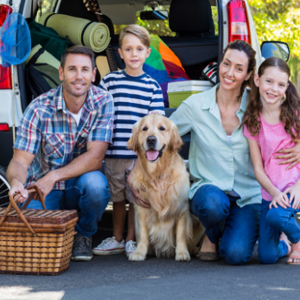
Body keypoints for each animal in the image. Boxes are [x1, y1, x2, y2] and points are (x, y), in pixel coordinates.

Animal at [126, 113, 204, 262]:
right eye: (144, 128)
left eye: (162, 128)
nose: (151, 139)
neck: (158, 174)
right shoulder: (141, 209)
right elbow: (142, 234)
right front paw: (139, 252)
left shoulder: (182, 209)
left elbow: (181, 234)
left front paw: (182, 253)